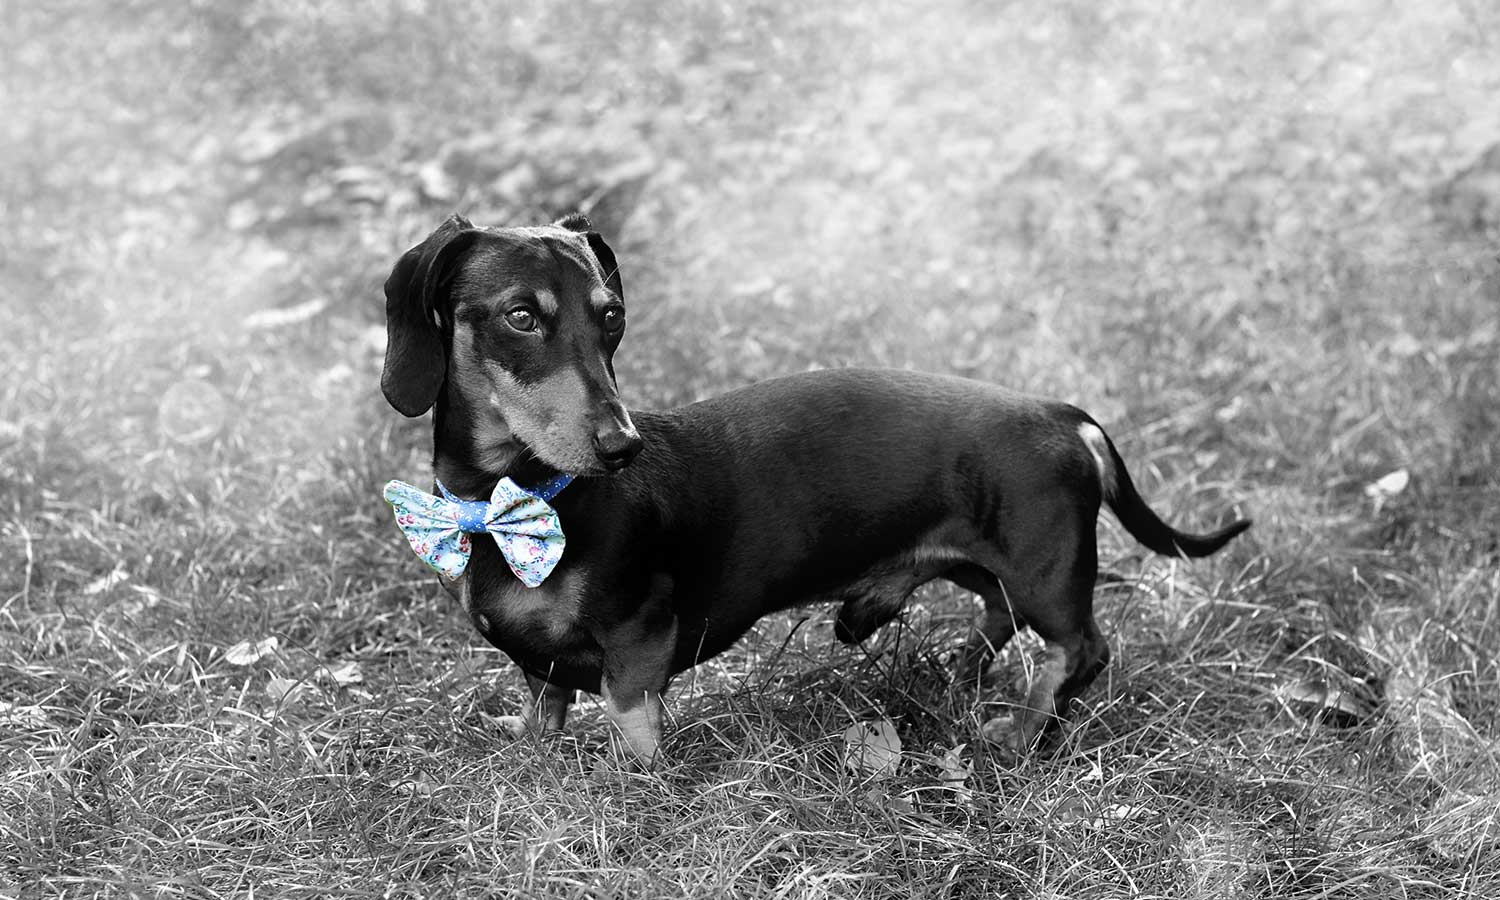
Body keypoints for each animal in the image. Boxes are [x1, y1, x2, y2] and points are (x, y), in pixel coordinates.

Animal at [381, 214, 1248, 756]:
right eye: (521, 317)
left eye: (611, 315)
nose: (622, 446)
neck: (513, 503)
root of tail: (1061, 413)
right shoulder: (542, 666)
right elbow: (544, 702)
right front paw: (535, 753)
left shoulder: (638, 640)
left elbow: (632, 725)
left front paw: (634, 788)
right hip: (983, 560)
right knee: (998, 612)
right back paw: (959, 668)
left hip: (1047, 567)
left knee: (1080, 647)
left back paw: (1022, 730)